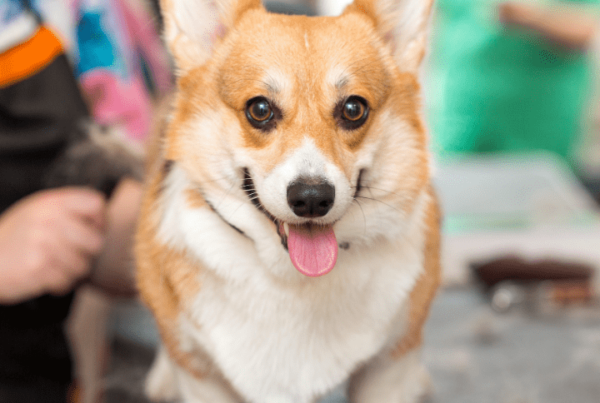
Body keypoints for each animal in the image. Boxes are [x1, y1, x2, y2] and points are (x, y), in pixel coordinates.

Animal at [137, 0, 440, 400]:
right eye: (260, 109)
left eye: (353, 109)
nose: (312, 198)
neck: (291, 276)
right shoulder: (202, 377)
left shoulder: (388, 366)